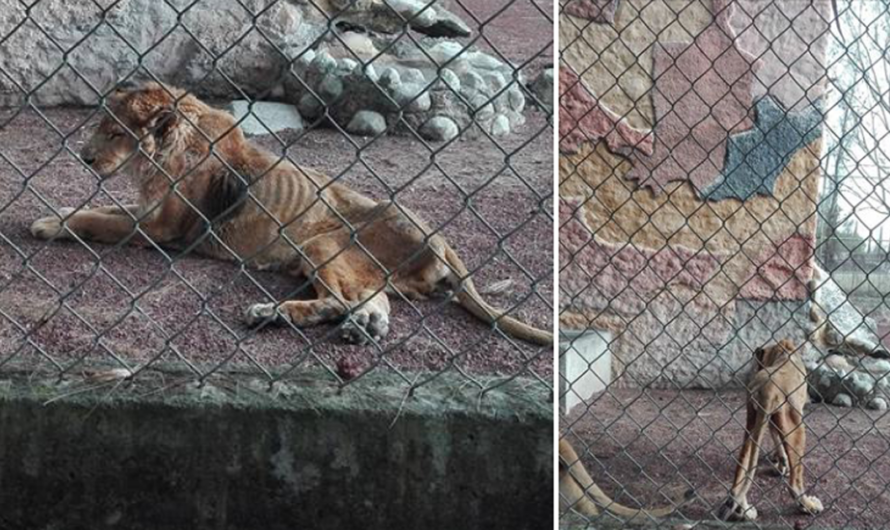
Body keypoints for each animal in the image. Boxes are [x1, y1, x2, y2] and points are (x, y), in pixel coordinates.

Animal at [31, 82, 548, 344]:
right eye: (100, 126)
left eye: (116, 132)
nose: (84, 157)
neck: (164, 152)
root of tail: (439, 236)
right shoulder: (148, 211)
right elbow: (102, 207)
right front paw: (60, 209)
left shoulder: (162, 227)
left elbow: (101, 219)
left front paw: (50, 222)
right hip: (346, 265)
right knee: (371, 302)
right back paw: (360, 328)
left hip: (322, 242)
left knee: (340, 300)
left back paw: (271, 314)